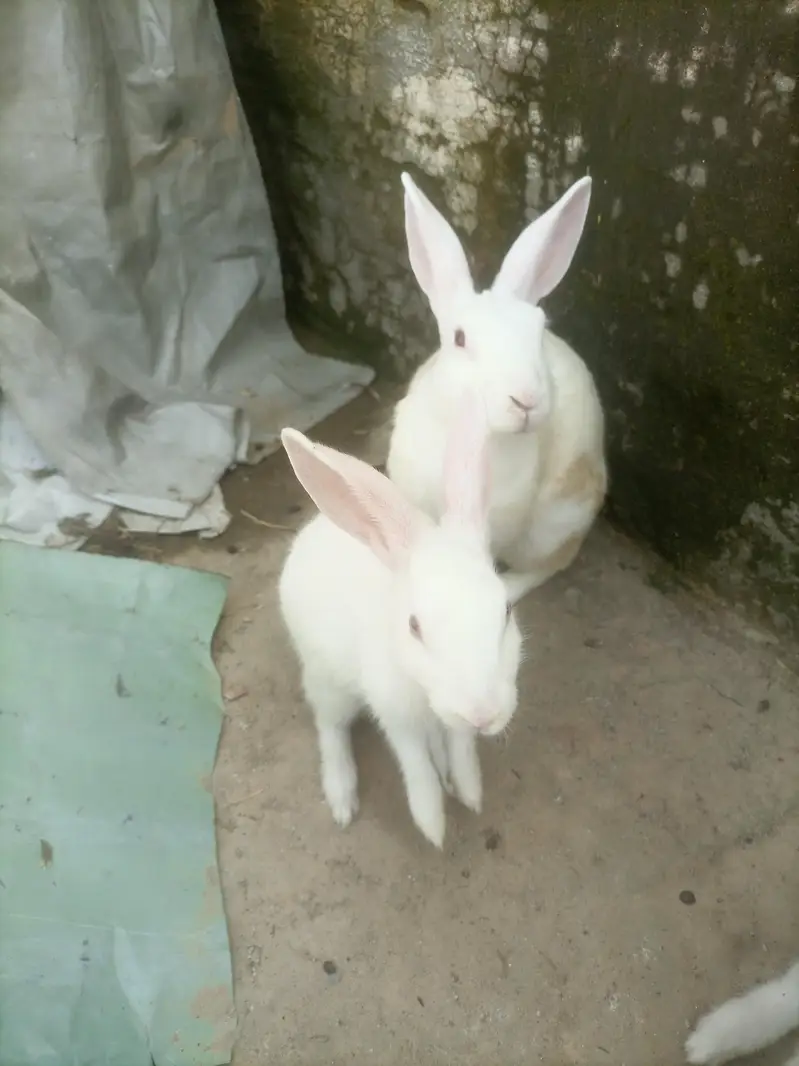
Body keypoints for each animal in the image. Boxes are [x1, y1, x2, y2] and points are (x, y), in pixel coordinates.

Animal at [277, 389, 523, 848]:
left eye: (506, 611)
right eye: (415, 627)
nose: (484, 714)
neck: (426, 693)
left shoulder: (454, 724)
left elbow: (460, 749)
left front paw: (469, 791)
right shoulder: (396, 716)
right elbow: (416, 765)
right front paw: (433, 825)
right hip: (327, 680)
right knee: (330, 726)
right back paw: (342, 797)